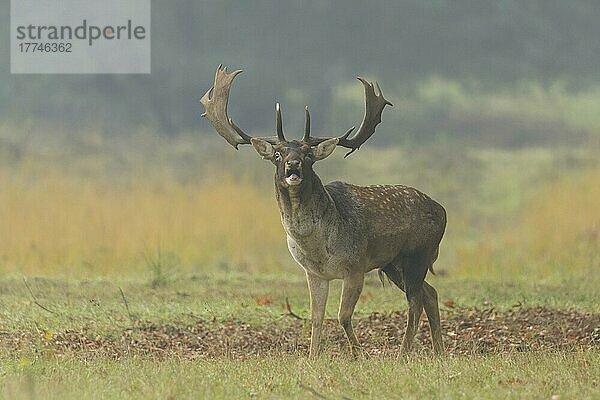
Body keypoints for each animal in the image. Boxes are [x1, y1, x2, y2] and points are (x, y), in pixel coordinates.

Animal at [200, 64, 446, 358]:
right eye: (278, 155)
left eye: (308, 154)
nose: (293, 165)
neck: (317, 247)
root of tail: (443, 211)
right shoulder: (314, 273)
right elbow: (316, 317)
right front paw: (311, 357)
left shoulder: (355, 266)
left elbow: (343, 315)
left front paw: (360, 355)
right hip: (392, 263)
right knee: (430, 294)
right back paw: (439, 350)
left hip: (417, 254)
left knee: (415, 300)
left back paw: (403, 353)